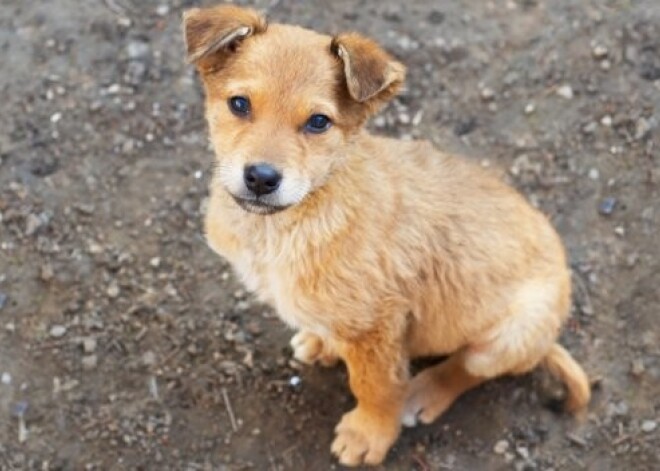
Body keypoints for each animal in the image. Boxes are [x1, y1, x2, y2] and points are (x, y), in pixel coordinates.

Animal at [183, 4, 592, 468]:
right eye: (239, 104)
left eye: (318, 122)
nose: (261, 178)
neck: (294, 220)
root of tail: (549, 340)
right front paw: (326, 343)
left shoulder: (379, 324)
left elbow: (375, 385)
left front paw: (369, 433)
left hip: (512, 334)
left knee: (468, 367)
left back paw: (424, 392)